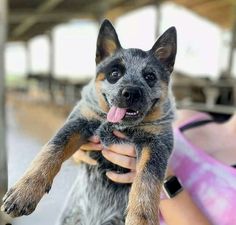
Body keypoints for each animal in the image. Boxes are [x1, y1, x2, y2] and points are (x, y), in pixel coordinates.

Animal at [1, 19, 177, 225]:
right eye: (114, 74)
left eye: (150, 76)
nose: (131, 92)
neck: (116, 125)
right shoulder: (79, 121)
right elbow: (51, 150)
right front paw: (24, 191)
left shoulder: (156, 143)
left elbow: (147, 182)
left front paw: (141, 219)